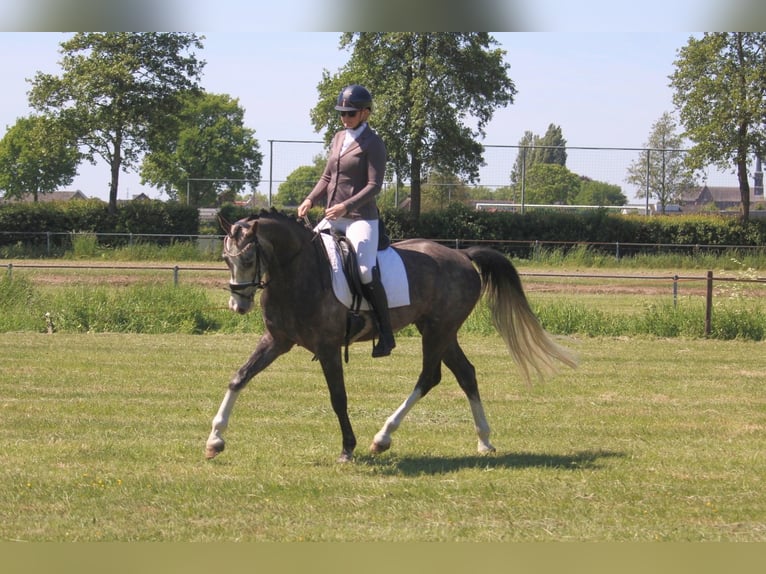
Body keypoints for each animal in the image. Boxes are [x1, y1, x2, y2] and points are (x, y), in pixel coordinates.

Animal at [205, 209, 576, 463]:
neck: (296, 271)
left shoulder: (328, 348)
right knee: (465, 374)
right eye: (225, 258)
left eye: (249, 257)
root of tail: (461, 255)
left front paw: (348, 448)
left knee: (429, 376)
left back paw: (382, 437)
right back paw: (484, 441)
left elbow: (338, 397)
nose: (238, 304)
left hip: (439, 331)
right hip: (439, 330)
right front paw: (215, 439)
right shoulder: (277, 341)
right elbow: (239, 378)